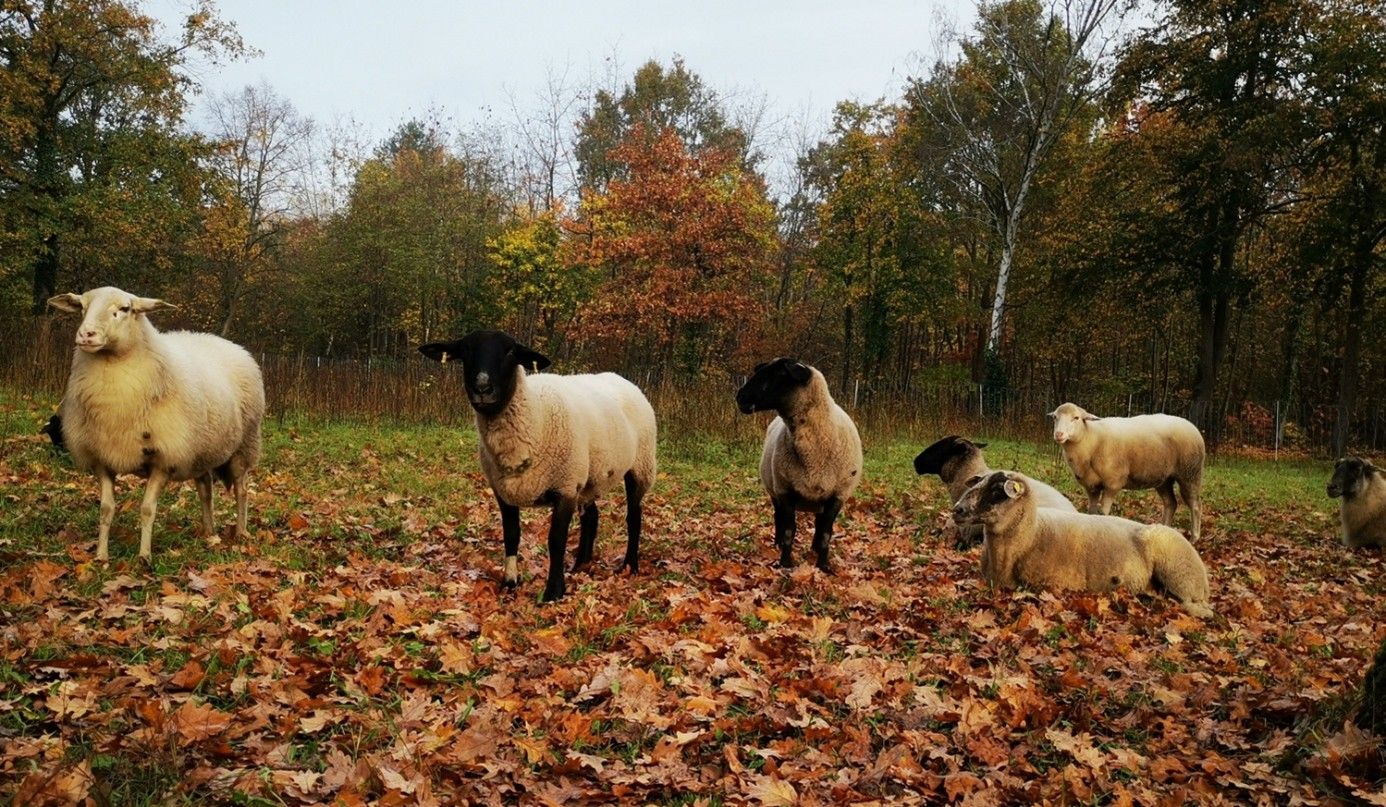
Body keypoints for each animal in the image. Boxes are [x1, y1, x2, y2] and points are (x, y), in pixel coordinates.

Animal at [47, 287, 265, 562]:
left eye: (126, 309)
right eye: (82, 307)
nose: (87, 334)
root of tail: (229, 343)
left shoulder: (164, 459)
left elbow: (147, 509)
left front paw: (144, 556)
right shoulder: (102, 459)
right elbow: (106, 509)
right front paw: (101, 555)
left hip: (244, 445)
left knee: (241, 489)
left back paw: (240, 533)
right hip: (201, 450)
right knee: (205, 488)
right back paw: (208, 531)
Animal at [419, 330, 657, 603]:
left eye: (511, 351)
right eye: (465, 350)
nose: (482, 388)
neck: (532, 412)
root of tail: (622, 379)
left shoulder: (565, 487)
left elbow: (556, 541)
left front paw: (554, 591)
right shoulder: (504, 491)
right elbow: (511, 535)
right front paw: (510, 583)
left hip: (641, 466)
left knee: (634, 517)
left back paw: (630, 566)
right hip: (588, 476)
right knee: (592, 517)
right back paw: (580, 565)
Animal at [736, 358, 863, 573]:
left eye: (778, 374)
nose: (739, 397)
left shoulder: (838, 495)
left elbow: (826, 533)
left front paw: (823, 565)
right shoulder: (785, 490)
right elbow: (789, 530)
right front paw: (785, 562)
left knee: (820, 525)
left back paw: (814, 549)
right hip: (774, 490)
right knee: (778, 517)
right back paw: (777, 544)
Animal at [954, 470, 1213, 618]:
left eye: (997, 490)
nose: (957, 510)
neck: (1031, 533)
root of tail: (1204, 578)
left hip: (1180, 573)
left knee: (1195, 606)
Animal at [1049, 402, 1206, 541]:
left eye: (1076, 418)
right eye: (1055, 417)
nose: (1059, 434)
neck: (1090, 438)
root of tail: (1192, 426)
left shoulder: (1112, 483)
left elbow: (1103, 513)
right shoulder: (1091, 486)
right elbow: (1091, 513)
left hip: (1190, 473)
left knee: (1195, 505)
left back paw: (1194, 538)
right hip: (1164, 479)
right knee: (1171, 503)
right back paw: (1165, 529)